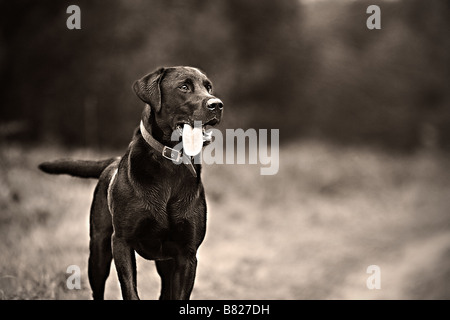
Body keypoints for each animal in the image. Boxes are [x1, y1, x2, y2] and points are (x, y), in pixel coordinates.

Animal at [39, 66, 223, 298]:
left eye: (208, 87)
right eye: (184, 87)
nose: (217, 104)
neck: (169, 166)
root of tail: (112, 161)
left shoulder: (186, 254)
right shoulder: (122, 242)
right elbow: (129, 289)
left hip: (166, 262)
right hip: (98, 249)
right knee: (97, 287)